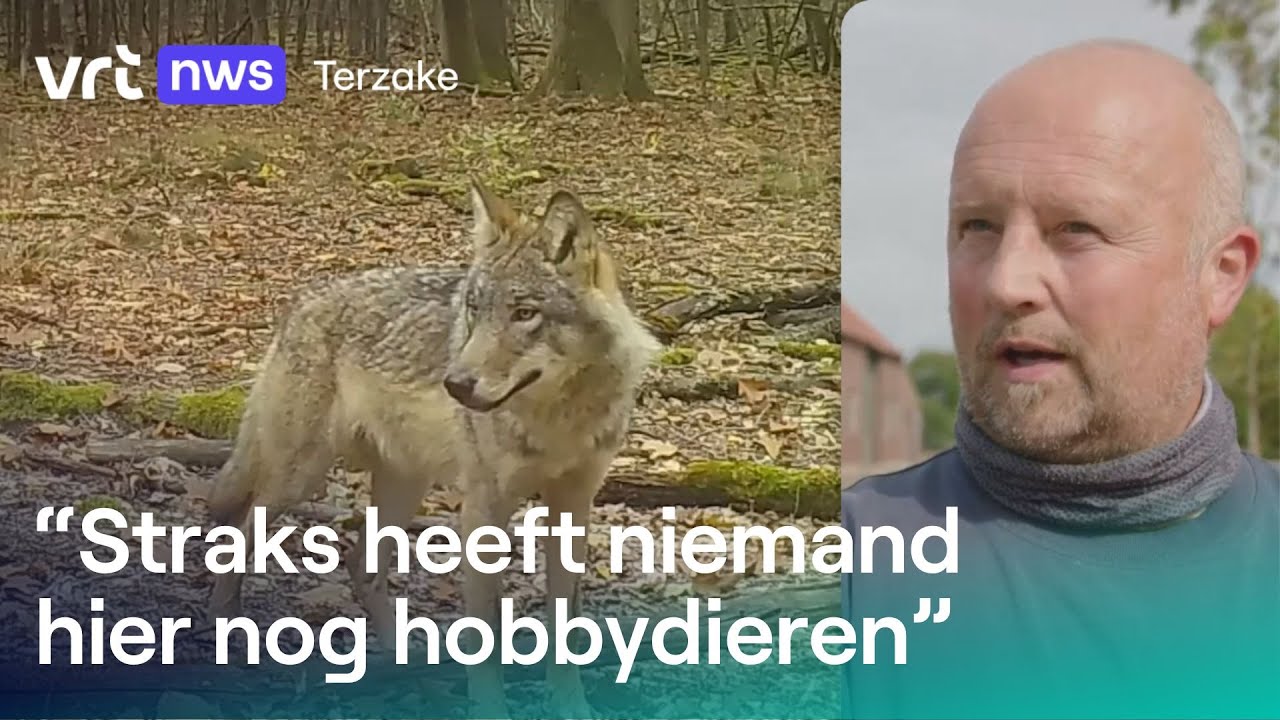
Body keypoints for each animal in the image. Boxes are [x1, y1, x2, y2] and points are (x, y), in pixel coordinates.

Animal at [204, 178, 662, 718]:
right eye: (474, 309)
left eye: (524, 313)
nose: (456, 384)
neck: (558, 416)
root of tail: (302, 299)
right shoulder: (483, 510)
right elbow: (486, 636)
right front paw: (490, 710)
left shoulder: (573, 504)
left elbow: (565, 626)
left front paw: (572, 706)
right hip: (301, 477)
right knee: (238, 533)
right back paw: (226, 629)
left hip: (403, 487)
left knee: (361, 567)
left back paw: (415, 673)